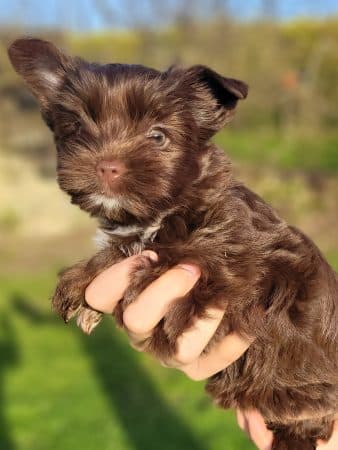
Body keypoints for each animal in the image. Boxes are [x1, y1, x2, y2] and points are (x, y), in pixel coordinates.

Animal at [9, 39, 336, 450]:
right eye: (77, 127)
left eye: (158, 136)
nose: (106, 166)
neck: (165, 209)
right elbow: (126, 248)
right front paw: (82, 279)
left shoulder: (240, 266)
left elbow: (172, 258)